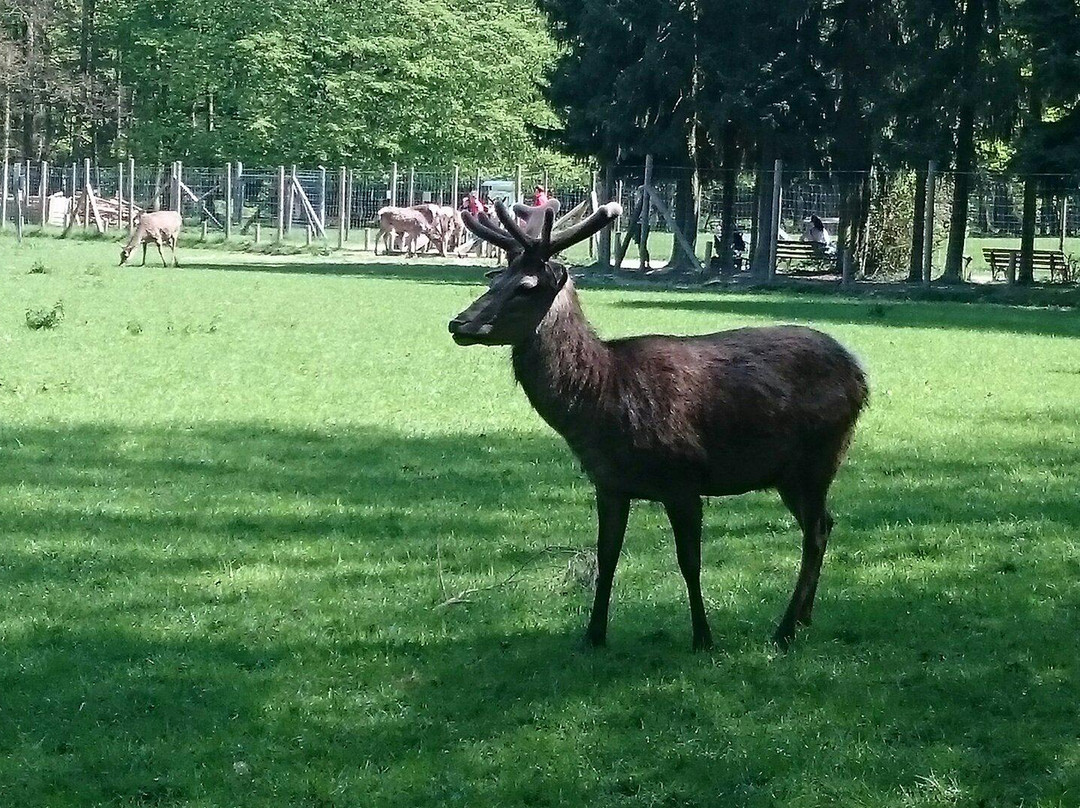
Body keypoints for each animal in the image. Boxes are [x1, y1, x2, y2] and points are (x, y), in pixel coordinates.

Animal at [447, 200, 868, 648]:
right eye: (496, 278)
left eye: (526, 286)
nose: (459, 324)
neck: (603, 400)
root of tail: (861, 376)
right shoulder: (610, 484)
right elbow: (607, 557)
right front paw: (594, 635)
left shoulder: (683, 479)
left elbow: (689, 562)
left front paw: (703, 637)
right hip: (788, 473)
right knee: (825, 524)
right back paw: (803, 617)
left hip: (820, 456)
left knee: (815, 532)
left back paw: (785, 629)